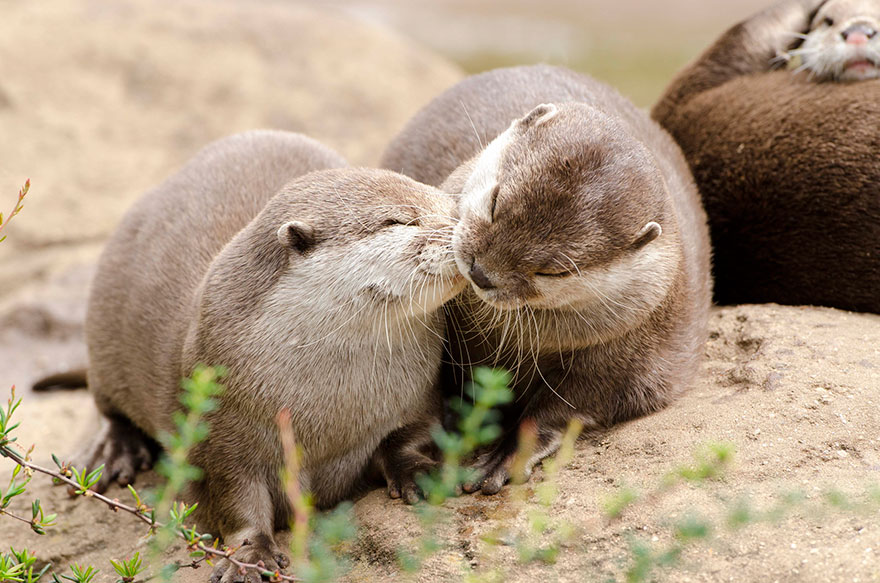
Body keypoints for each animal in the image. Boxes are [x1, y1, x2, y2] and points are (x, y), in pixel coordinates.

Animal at [82, 130, 464, 579]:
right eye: (398, 221)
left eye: (450, 205)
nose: (464, 233)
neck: (328, 411)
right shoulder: (217, 439)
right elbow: (234, 502)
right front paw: (251, 555)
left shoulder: (421, 393)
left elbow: (411, 435)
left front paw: (420, 472)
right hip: (102, 334)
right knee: (109, 407)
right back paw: (113, 453)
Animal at [381, 65, 712, 494]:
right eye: (495, 202)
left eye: (553, 270)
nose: (480, 272)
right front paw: (407, 461)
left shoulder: (629, 355)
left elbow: (568, 407)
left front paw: (505, 455)